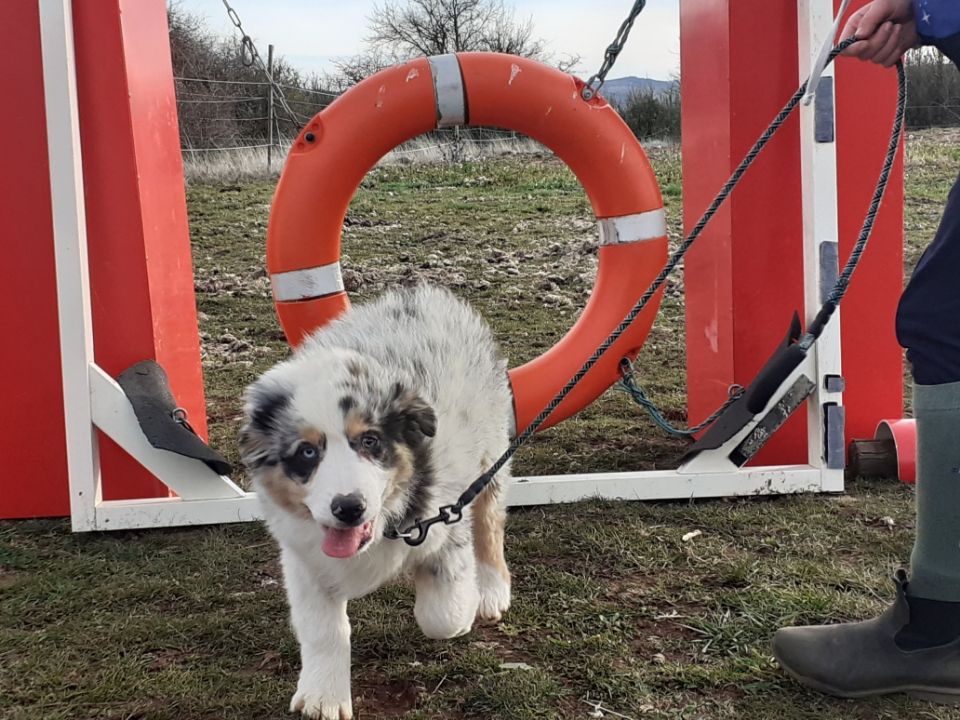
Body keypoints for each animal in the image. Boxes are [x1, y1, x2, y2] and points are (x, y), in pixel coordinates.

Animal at [240, 284, 516, 716]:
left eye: (369, 441)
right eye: (306, 452)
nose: (348, 508)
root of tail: (424, 294)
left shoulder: (447, 516)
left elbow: (442, 615)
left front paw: (466, 604)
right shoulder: (303, 556)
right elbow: (321, 629)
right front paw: (323, 696)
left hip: (491, 454)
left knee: (490, 524)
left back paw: (491, 591)